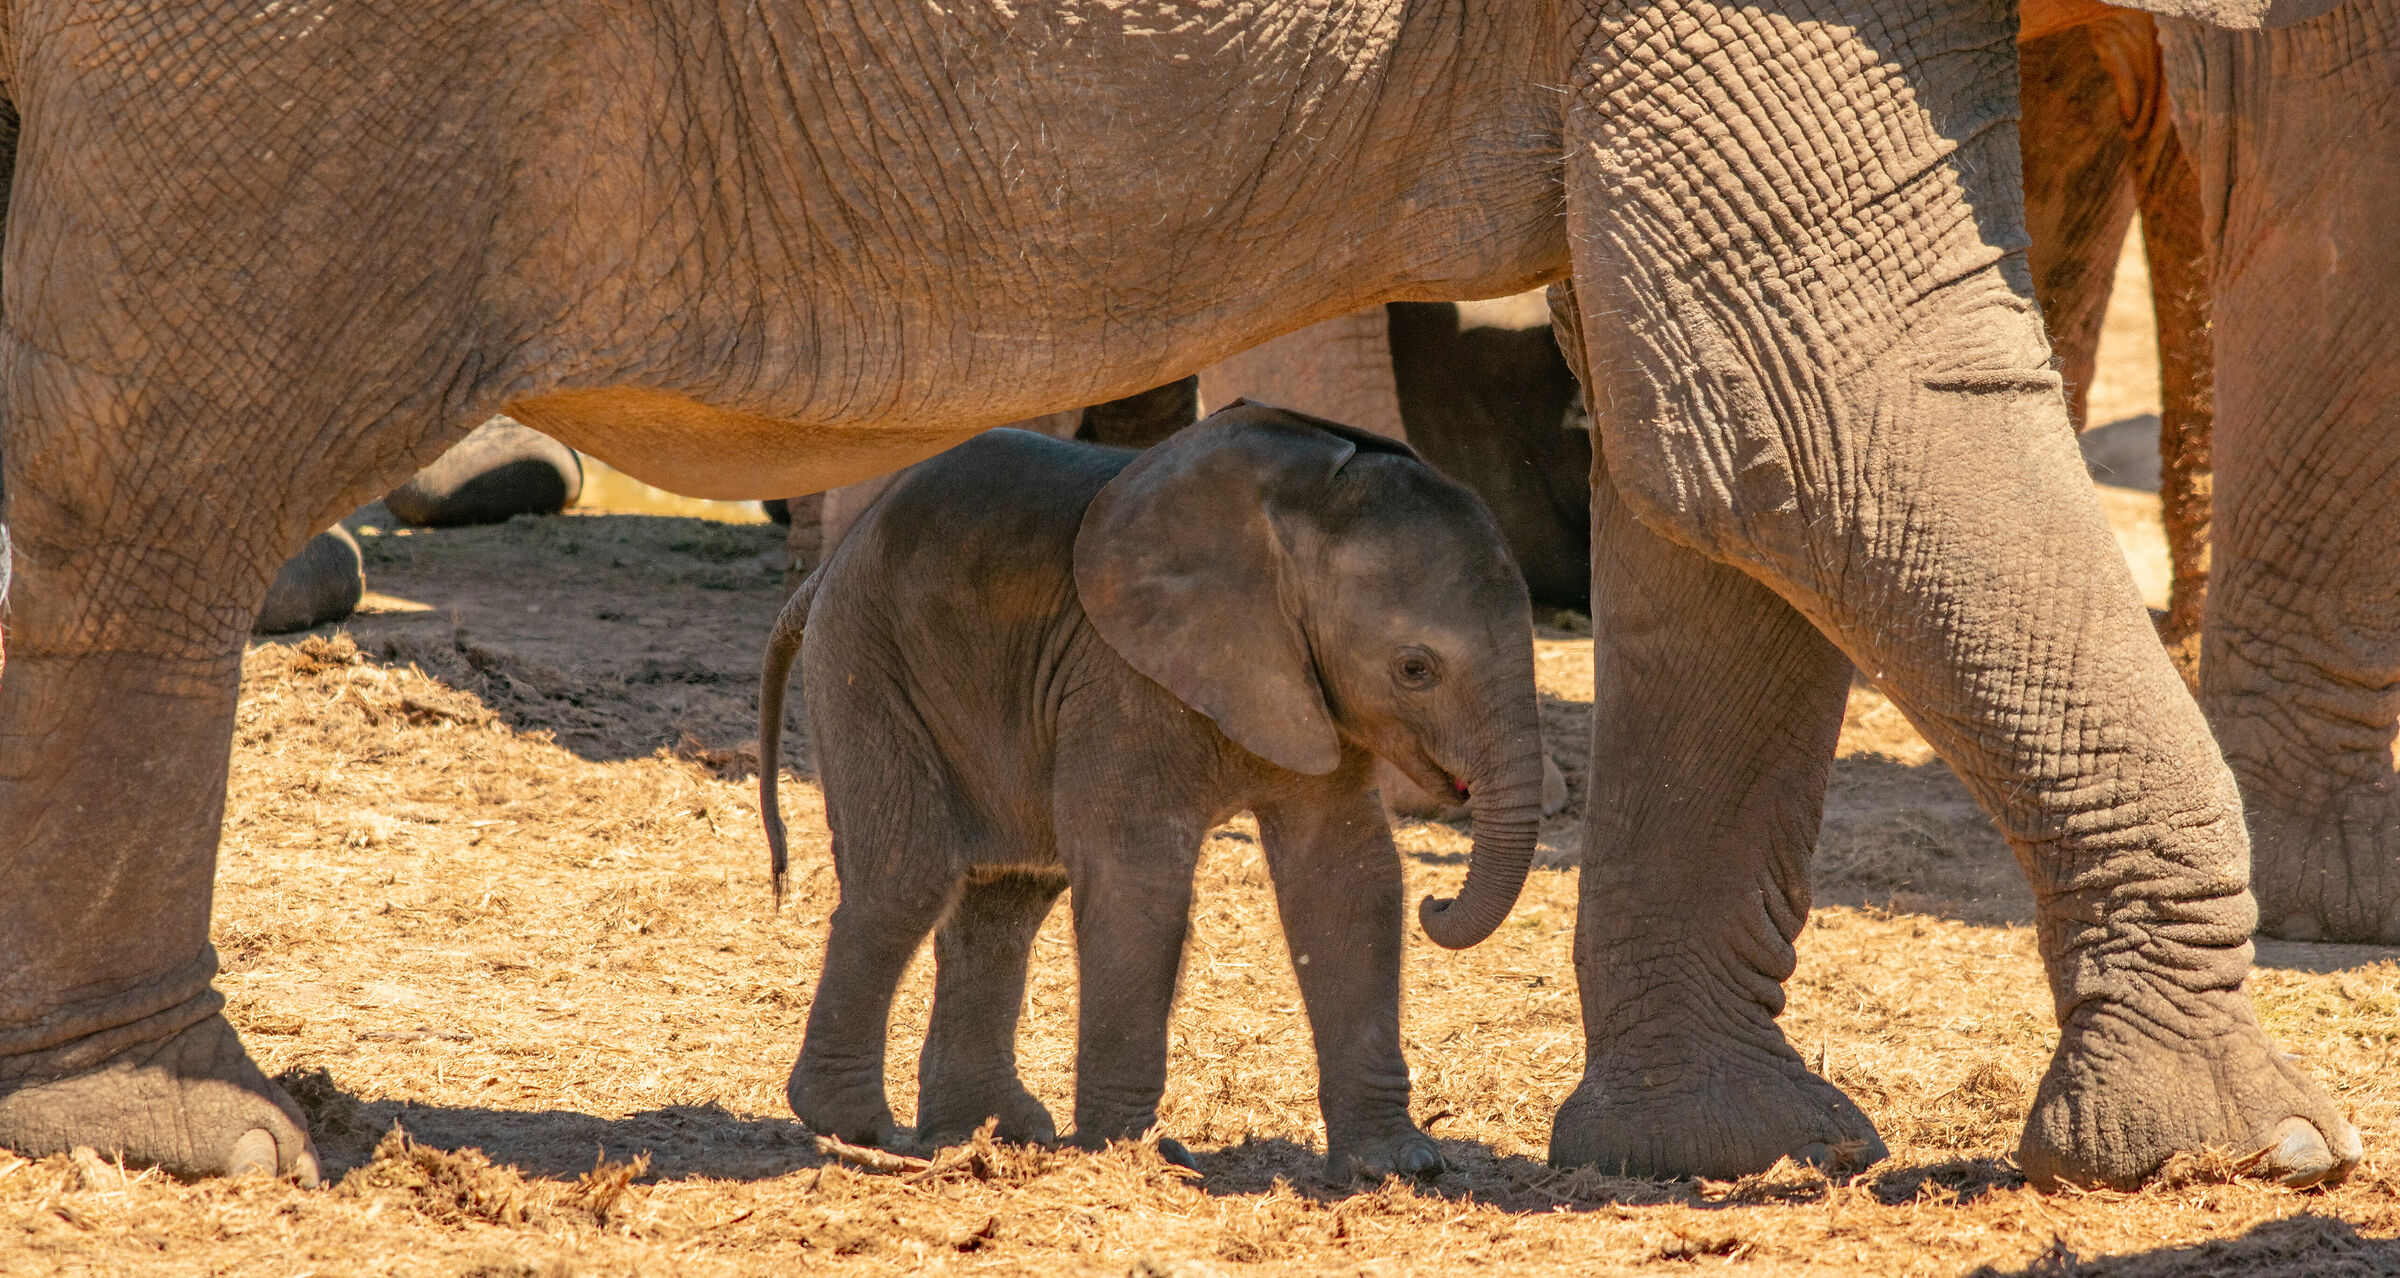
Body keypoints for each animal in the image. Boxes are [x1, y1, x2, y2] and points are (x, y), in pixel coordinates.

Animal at [755, 407, 1544, 1180]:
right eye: (1415, 669)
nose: (1438, 903)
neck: (1292, 522)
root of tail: (826, 569)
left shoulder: (1313, 689)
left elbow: (1345, 877)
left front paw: (1399, 1166)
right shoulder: (1122, 675)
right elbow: (1139, 877)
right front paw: (1136, 1158)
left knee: (1007, 896)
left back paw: (999, 1134)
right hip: (870, 661)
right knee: (910, 877)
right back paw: (863, 1128)